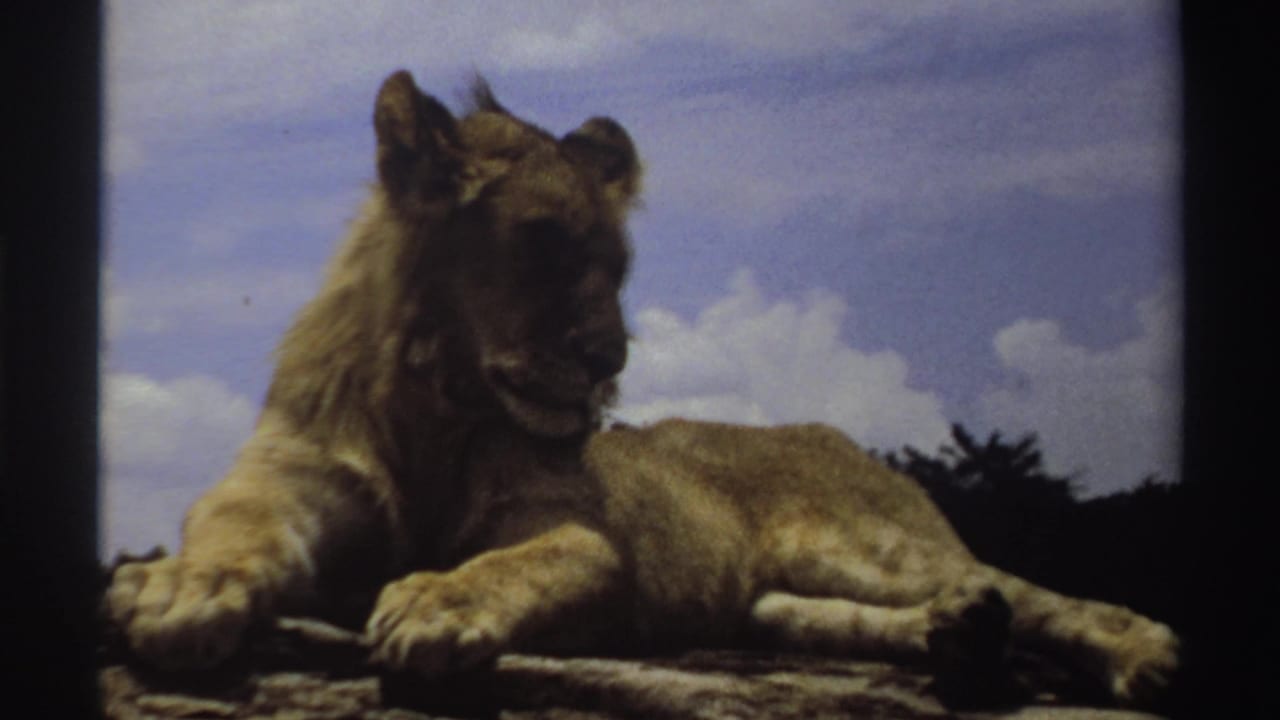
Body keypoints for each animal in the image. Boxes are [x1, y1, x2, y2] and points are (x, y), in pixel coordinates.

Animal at [106, 70, 1178, 707]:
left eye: (617, 269)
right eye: (543, 244)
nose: (608, 359)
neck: (437, 400)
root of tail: (832, 432)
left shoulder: (581, 536)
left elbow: (511, 565)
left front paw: (435, 605)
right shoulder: (282, 481)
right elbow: (230, 531)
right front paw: (177, 587)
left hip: (868, 545)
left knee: (1038, 594)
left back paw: (1140, 654)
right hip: (769, 601)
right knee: (835, 616)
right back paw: (958, 638)